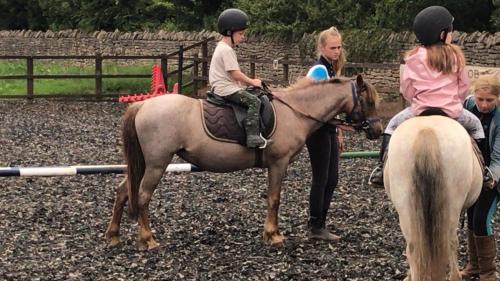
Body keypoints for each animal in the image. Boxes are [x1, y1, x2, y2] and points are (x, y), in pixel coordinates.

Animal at [105, 75, 382, 249]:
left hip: (144, 163)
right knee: (142, 196)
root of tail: (142, 106)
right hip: (157, 164)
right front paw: (273, 235)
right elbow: (274, 199)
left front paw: (271, 233)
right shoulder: (278, 163)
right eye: (368, 101)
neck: (294, 111)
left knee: (123, 191)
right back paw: (148, 239)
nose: (377, 131)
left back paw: (114, 236)